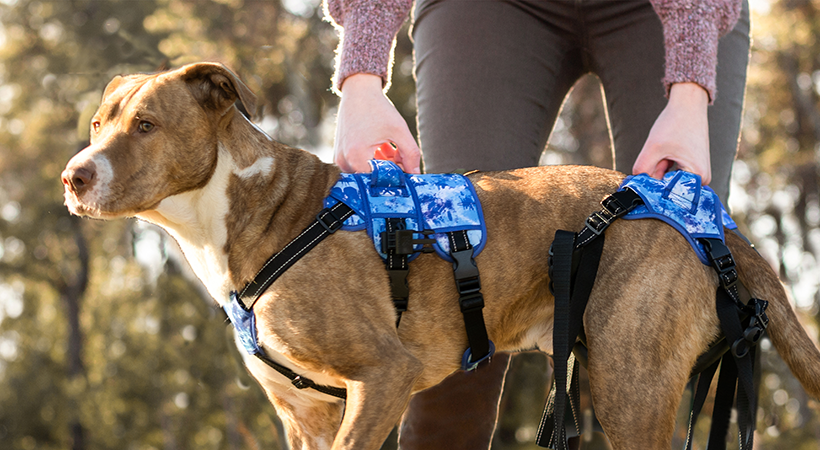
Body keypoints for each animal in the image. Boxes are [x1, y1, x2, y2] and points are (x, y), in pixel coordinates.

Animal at [59, 63, 820, 450]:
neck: (253, 209)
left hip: (632, 387)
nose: (72, 176)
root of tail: (709, 218)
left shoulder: (382, 377)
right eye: (97, 123)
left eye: (146, 126)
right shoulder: (302, 415)